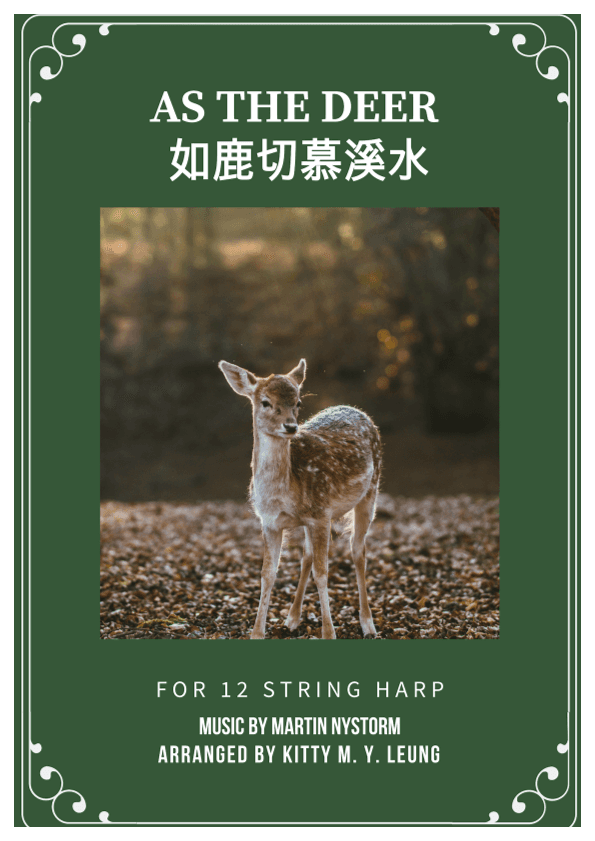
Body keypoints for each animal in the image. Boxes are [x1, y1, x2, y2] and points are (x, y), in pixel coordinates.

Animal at [218, 358, 382, 640]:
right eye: (265, 402)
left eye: (298, 403)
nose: (291, 426)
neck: (283, 495)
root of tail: (358, 410)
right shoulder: (270, 522)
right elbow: (267, 574)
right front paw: (257, 633)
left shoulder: (322, 513)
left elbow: (322, 573)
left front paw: (329, 633)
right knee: (306, 555)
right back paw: (292, 618)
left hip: (370, 491)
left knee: (358, 551)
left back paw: (368, 623)